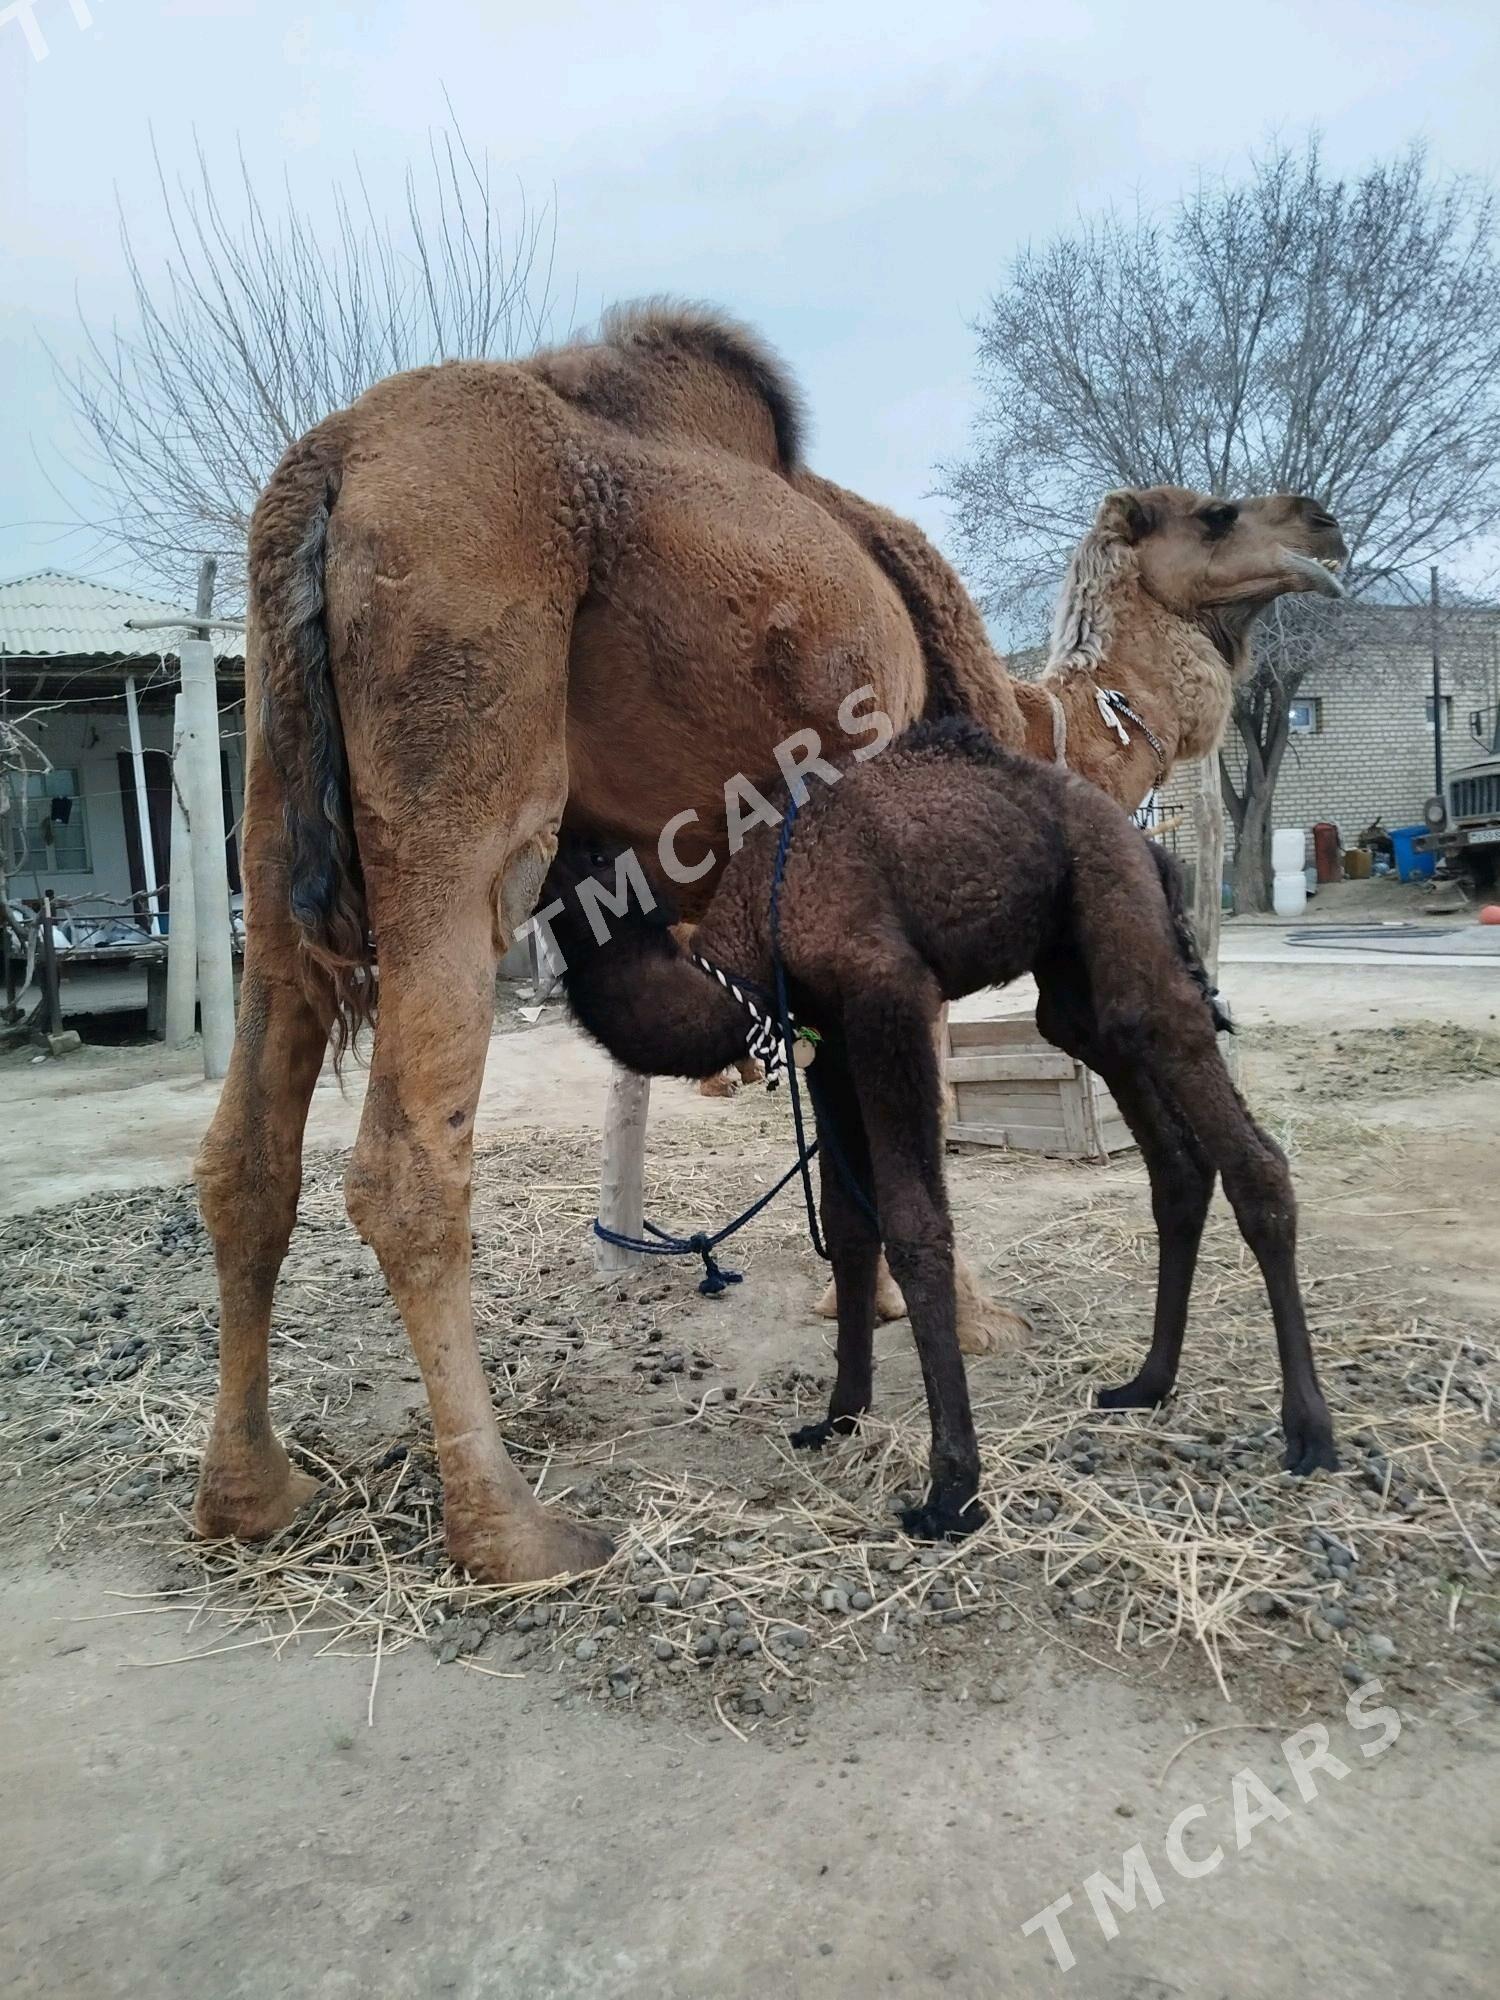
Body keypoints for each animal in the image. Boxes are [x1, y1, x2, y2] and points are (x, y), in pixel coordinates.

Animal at [548, 724, 1344, 1544]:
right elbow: (847, 1221)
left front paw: (951, 1488)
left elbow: (914, 1225)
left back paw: (1309, 1433)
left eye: (598, 855)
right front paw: (838, 1416)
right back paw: (1146, 1383)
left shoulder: (884, 990)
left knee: (1234, 1129)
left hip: (1114, 899)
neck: (753, 935)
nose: (542, 856)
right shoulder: (827, 1033)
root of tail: (1147, 844)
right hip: (1072, 980)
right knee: (1166, 1146)